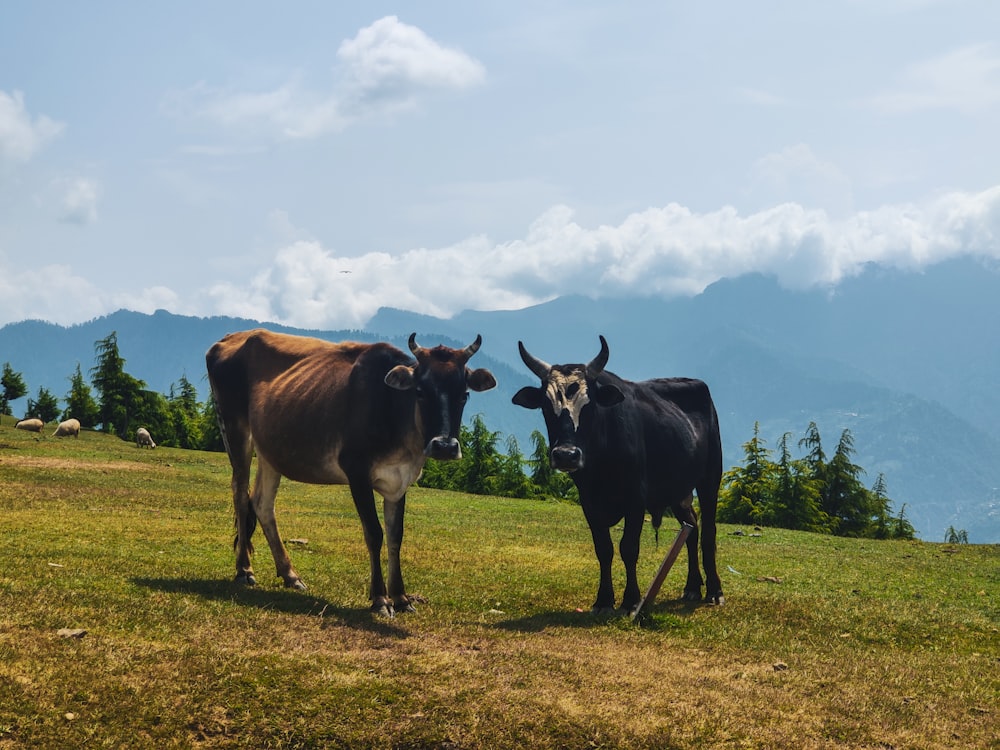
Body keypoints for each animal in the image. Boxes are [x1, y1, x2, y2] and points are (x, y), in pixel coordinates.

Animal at [206, 328, 496, 616]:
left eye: (464, 394)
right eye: (421, 391)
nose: (444, 446)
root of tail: (229, 338)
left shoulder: (399, 480)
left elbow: (396, 536)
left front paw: (401, 597)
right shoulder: (356, 472)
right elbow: (374, 533)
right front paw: (380, 599)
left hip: (270, 449)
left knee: (262, 504)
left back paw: (290, 574)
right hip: (235, 428)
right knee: (241, 497)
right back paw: (244, 570)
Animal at [516, 338, 720, 612]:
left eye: (589, 405)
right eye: (547, 407)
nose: (566, 455)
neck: (601, 465)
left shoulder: (636, 499)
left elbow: (629, 547)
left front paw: (631, 599)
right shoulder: (589, 502)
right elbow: (604, 549)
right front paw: (603, 599)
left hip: (710, 478)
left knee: (708, 532)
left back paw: (714, 591)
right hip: (678, 490)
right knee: (692, 526)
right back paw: (692, 587)